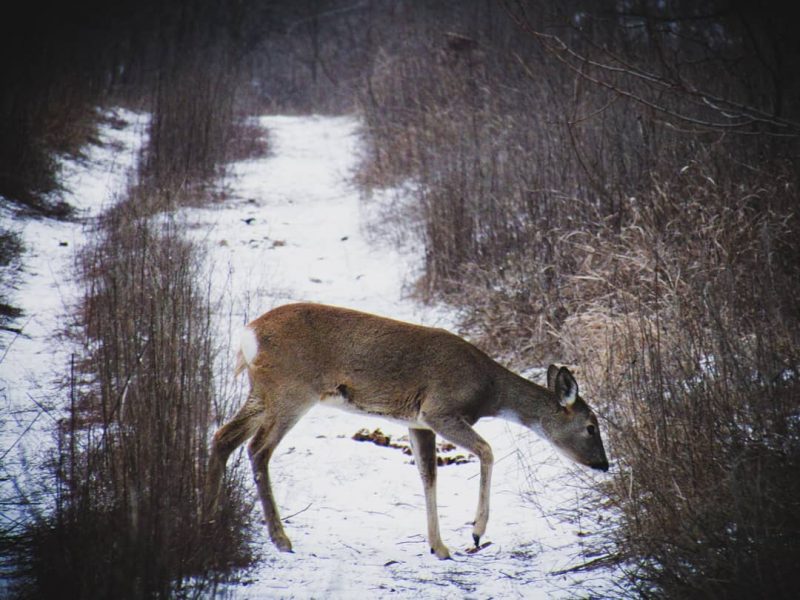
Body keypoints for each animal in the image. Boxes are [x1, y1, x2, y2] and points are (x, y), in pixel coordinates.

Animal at [203, 302, 608, 560]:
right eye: (591, 427)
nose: (604, 465)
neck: (487, 389)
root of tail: (248, 335)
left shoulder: (417, 422)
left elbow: (428, 476)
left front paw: (438, 547)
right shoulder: (440, 410)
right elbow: (487, 450)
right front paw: (476, 531)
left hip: (263, 393)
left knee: (223, 437)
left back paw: (210, 519)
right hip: (292, 391)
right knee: (257, 450)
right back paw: (281, 539)